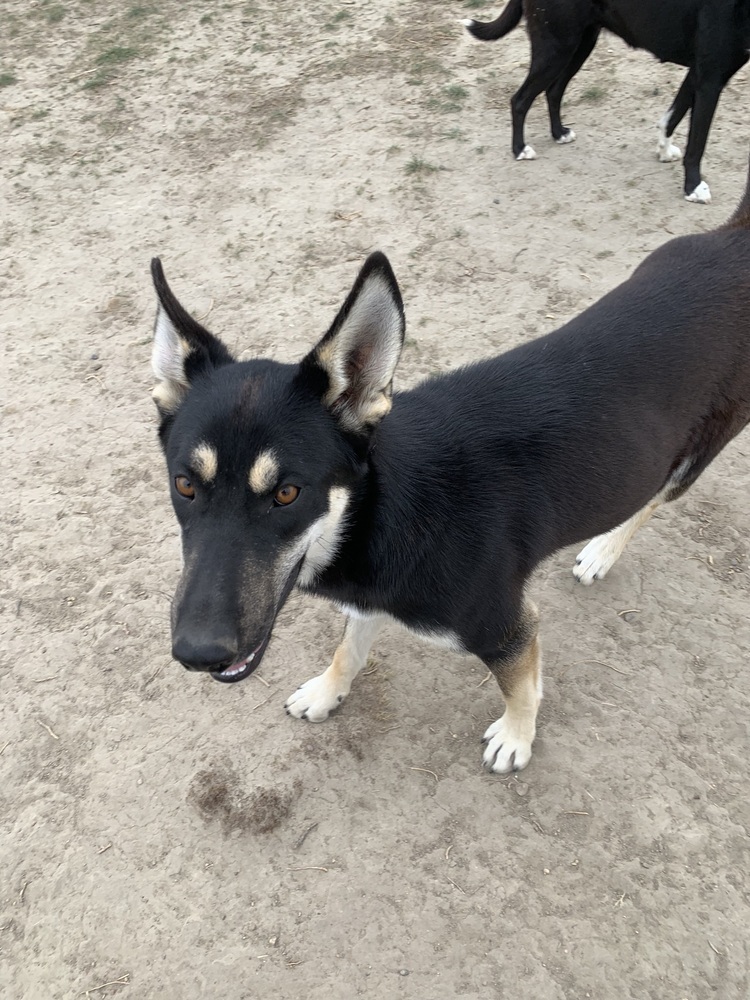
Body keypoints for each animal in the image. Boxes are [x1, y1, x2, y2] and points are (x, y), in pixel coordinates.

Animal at [150, 172, 750, 772]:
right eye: (184, 484)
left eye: (287, 493)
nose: (197, 653)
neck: (378, 512)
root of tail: (736, 239)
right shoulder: (369, 597)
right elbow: (350, 647)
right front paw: (326, 691)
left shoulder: (508, 627)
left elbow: (521, 687)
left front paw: (517, 736)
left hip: (690, 458)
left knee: (650, 500)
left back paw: (603, 550)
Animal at [464, 0, 750, 203]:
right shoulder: (710, 81)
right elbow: (697, 144)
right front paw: (693, 188)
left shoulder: (696, 74)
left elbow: (673, 117)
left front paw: (664, 151)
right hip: (556, 48)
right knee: (520, 99)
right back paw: (520, 149)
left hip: (580, 44)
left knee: (554, 91)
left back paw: (559, 133)